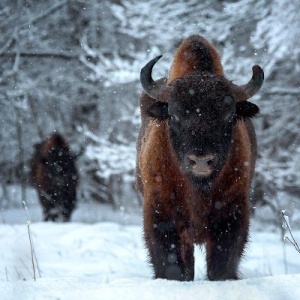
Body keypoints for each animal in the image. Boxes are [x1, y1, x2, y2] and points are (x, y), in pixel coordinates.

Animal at [137, 35, 264, 282]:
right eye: (174, 115)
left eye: (229, 115)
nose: (201, 161)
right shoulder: (160, 211)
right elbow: (171, 264)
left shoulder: (232, 212)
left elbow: (222, 264)